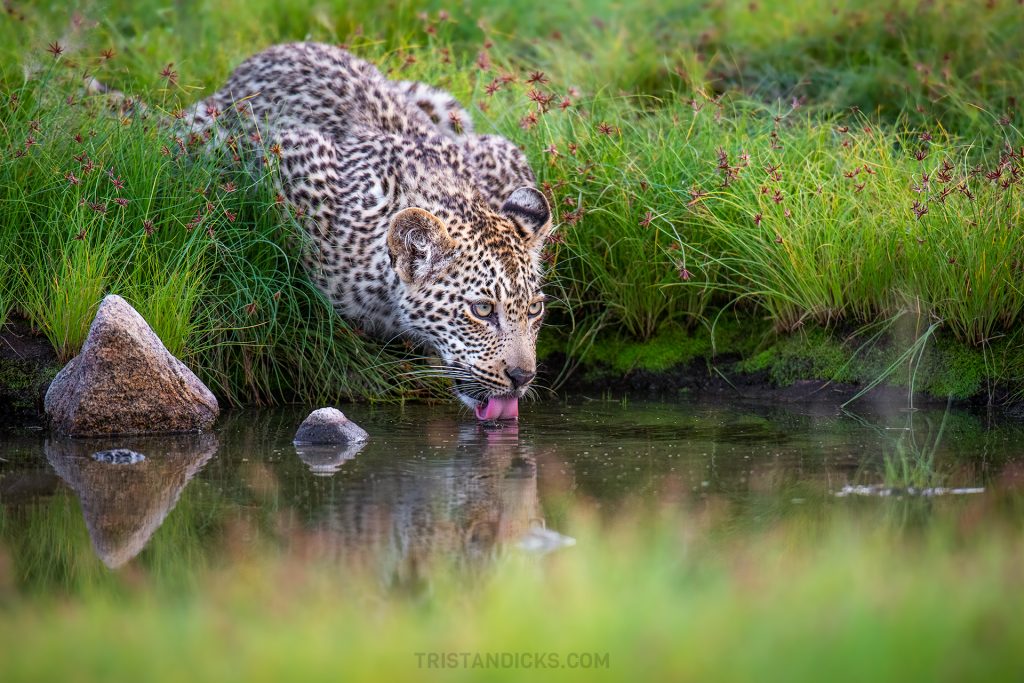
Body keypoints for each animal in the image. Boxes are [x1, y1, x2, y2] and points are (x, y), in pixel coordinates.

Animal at [145, 43, 552, 420]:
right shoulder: (294, 154)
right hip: (198, 133)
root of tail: (274, 49)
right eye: (482, 310)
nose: (522, 377)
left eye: (534, 309)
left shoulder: (501, 151)